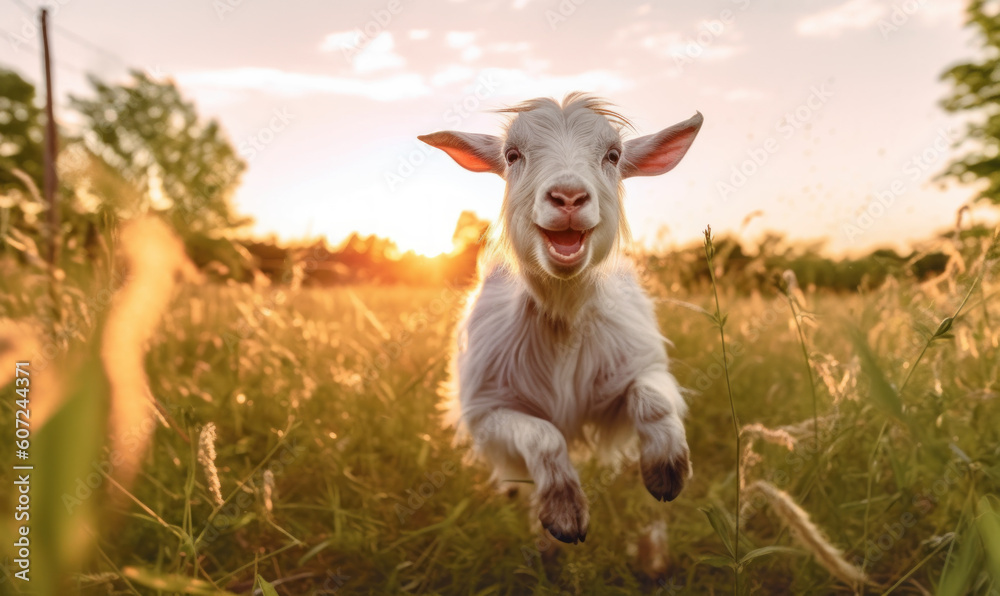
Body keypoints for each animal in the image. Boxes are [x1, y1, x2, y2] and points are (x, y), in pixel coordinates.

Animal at [419, 93, 703, 544]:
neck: (564, 315)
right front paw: (564, 513)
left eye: (613, 155)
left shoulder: (638, 368)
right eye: (512, 155)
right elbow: (544, 435)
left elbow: (652, 400)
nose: (568, 197)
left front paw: (667, 471)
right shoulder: (485, 411)